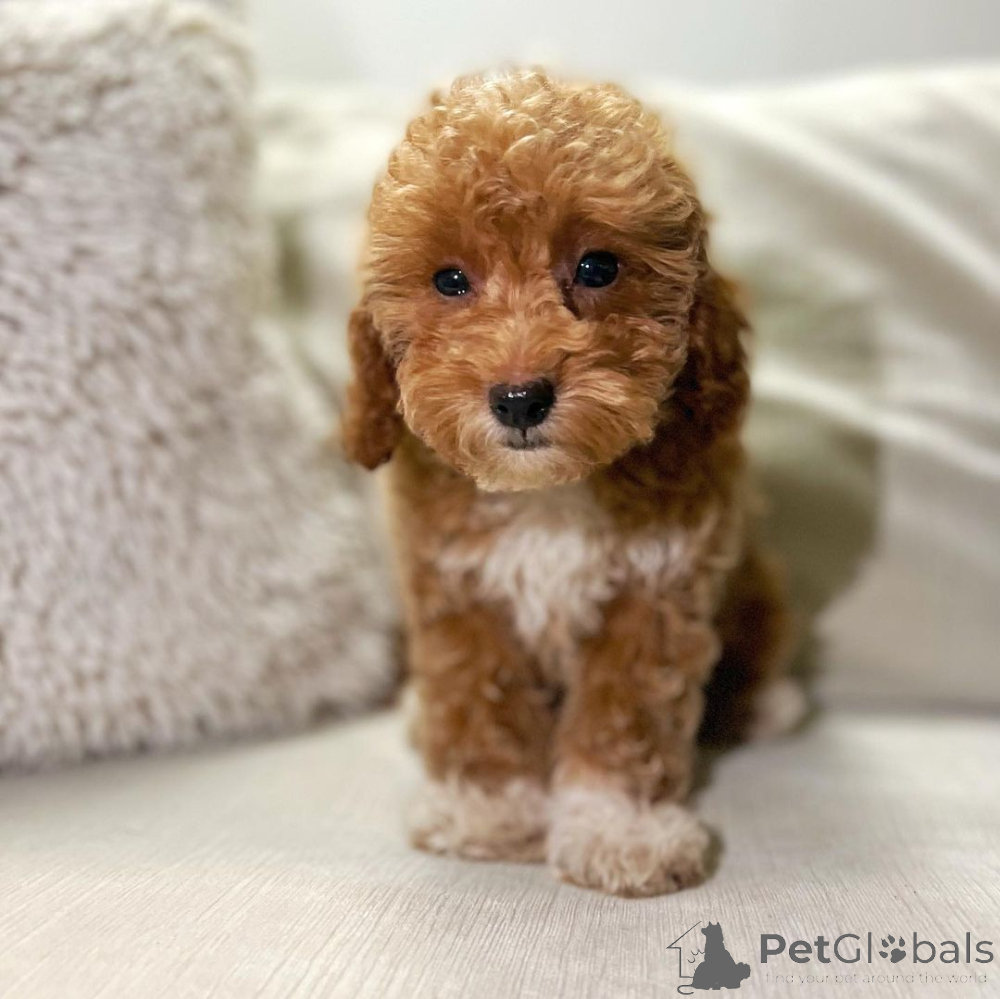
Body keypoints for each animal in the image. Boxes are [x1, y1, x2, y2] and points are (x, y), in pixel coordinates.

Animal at [342, 70, 804, 896]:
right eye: (449, 280)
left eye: (597, 267)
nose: (520, 397)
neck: (547, 490)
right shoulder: (459, 589)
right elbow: (477, 694)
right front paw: (486, 809)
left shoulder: (656, 591)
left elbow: (626, 716)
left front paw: (619, 830)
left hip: (754, 582)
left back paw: (766, 701)